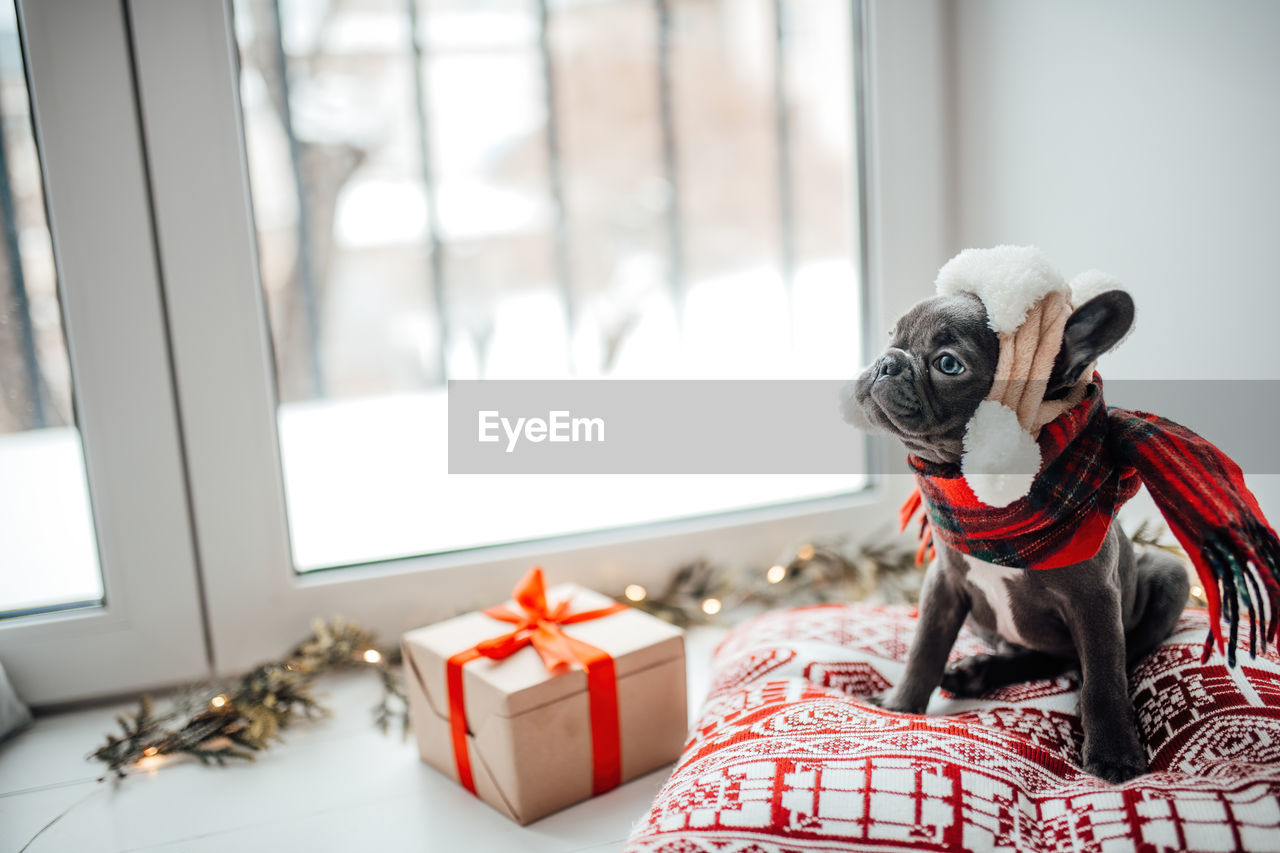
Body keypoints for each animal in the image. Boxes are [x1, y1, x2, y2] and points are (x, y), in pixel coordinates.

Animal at [849, 289, 1187, 778]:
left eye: (948, 364)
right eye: (892, 336)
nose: (886, 361)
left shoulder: (1096, 600)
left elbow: (1104, 676)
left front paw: (1114, 754)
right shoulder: (943, 583)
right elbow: (924, 647)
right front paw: (900, 705)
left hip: (1169, 574)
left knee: (1109, 658)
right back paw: (976, 672)